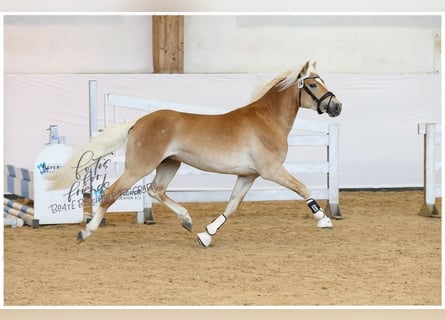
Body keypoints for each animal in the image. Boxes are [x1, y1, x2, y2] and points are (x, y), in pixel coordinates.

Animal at [46, 61, 342, 249]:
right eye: (313, 85)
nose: (337, 106)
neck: (266, 120)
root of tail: (138, 122)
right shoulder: (271, 171)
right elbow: (303, 188)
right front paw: (324, 220)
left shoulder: (248, 175)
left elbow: (231, 207)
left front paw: (206, 235)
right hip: (139, 167)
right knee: (111, 193)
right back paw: (85, 232)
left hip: (170, 165)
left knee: (156, 190)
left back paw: (187, 221)